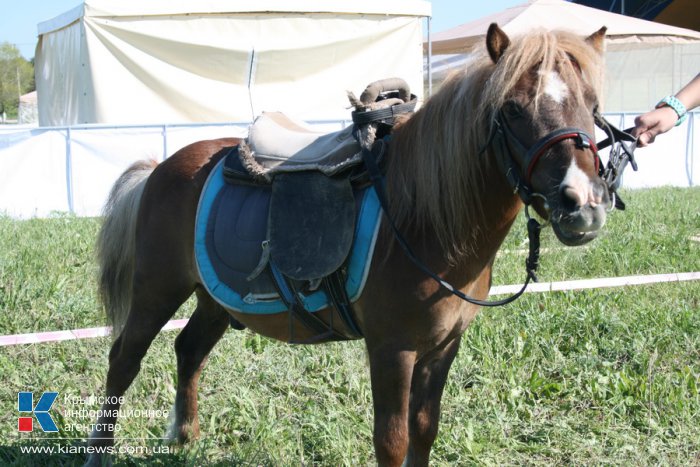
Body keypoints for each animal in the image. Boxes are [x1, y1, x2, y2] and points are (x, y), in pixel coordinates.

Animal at [86, 25, 612, 467]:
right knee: (123, 359)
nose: (582, 205)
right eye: (512, 109)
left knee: (189, 349)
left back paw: (185, 436)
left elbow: (425, 430)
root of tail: (159, 167)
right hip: (157, 289)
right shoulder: (393, 349)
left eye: (593, 105)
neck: (423, 217)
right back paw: (100, 452)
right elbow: (392, 440)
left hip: (214, 299)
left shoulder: (444, 346)